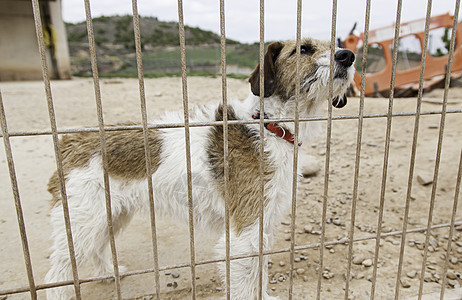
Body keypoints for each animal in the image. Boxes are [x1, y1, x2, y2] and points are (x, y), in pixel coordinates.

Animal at [45, 38, 356, 300]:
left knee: (98, 247)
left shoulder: (262, 225)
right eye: (303, 49)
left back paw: (107, 272)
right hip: (83, 221)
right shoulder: (244, 233)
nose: (348, 55)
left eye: (334, 43)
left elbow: (260, 273)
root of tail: (70, 139)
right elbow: (246, 282)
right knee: (58, 275)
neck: (270, 125)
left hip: (110, 216)